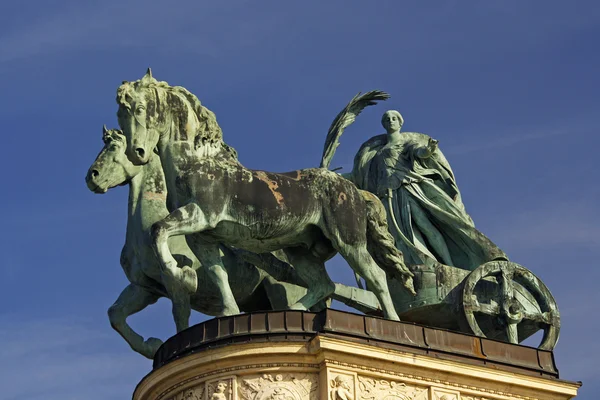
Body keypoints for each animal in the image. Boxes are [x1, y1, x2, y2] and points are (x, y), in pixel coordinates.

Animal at [117, 68, 418, 318]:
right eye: (121, 114)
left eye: (140, 108)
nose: (137, 152)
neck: (197, 161)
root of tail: (354, 189)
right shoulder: (203, 237)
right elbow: (218, 274)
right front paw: (228, 311)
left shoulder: (201, 214)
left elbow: (158, 229)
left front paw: (177, 272)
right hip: (299, 250)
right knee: (324, 284)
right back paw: (295, 310)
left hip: (348, 240)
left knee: (376, 276)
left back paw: (392, 324)